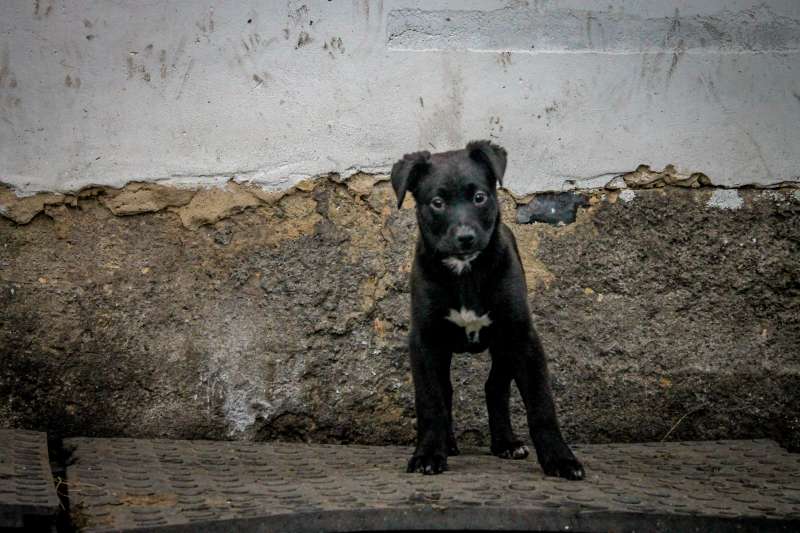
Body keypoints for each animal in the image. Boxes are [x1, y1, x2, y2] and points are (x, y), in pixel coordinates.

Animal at [391, 140, 584, 480]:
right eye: (437, 202)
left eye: (479, 197)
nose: (465, 237)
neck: (466, 271)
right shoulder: (425, 341)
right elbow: (430, 401)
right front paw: (428, 454)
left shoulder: (522, 335)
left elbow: (541, 403)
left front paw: (560, 459)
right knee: (448, 392)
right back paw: (449, 444)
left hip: (505, 346)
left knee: (494, 387)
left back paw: (506, 443)